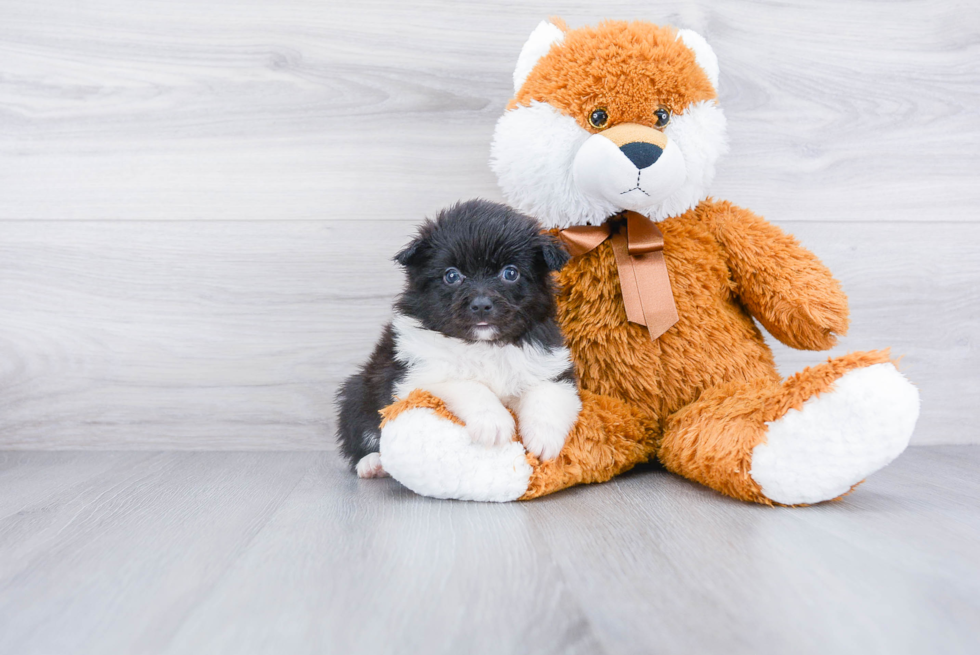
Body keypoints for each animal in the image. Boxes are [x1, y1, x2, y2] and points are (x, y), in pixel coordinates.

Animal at [336, 197, 580, 480]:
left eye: (510, 273)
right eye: (452, 276)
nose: (481, 305)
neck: (484, 345)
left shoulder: (550, 364)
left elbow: (548, 392)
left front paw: (544, 438)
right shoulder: (416, 378)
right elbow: (467, 384)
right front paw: (493, 422)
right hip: (355, 393)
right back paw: (372, 464)